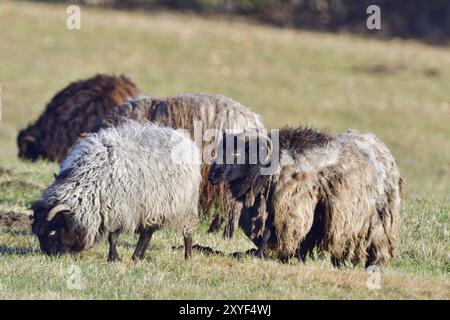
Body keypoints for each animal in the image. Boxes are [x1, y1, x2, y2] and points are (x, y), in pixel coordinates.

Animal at [31, 121, 200, 262]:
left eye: (52, 232)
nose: (48, 255)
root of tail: (184, 139)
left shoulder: (119, 209)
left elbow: (113, 237)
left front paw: (113, 258)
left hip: (182, 203)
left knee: (186, 232)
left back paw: (187, 257)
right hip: (152, 205)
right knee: (147, 233)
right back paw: (137, 257)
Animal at [210, 127, 404, 268]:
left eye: (237, 153)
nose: (213, 175)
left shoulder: (292, 210)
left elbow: (273, 236)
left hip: (380, 216)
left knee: (380, 242)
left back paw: (374, 264)